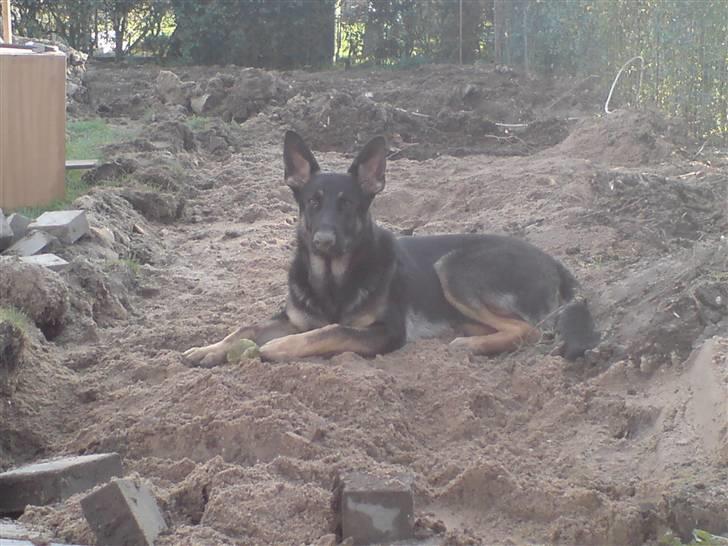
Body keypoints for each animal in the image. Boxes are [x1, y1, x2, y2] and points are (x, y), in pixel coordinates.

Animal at [185, 131, 600, 366]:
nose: (323, 241)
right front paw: (210, 349)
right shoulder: (293, 317)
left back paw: (471, 345)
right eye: (313, 203)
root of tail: (555, 262)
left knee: (528, 330)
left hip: (455, 266)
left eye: (348, 205)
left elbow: (330, 331)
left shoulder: (384, 331)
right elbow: (247, 326)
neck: (333, 279)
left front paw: (281, 347)